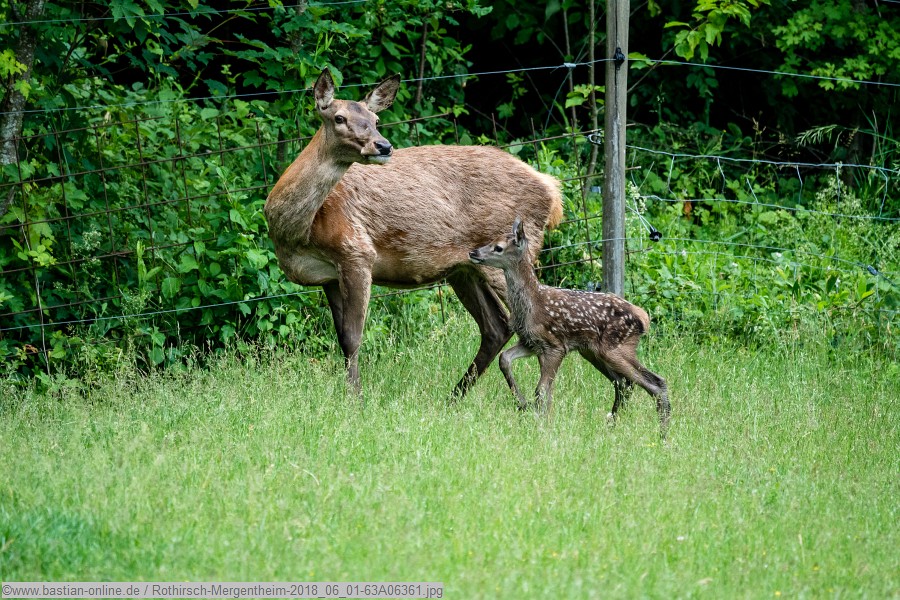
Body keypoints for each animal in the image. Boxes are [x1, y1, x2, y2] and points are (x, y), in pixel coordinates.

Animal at [264, 69, 564, 397]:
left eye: (376, 119)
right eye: (339, 117)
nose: (383, 146)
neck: (299, 232)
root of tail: (552, 191)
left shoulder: (356, 251)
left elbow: (353, 337)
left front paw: (355, 397)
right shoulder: (327, 276)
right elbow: (342, 338)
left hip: (511, 255)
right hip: (464, 267)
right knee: (496, 325)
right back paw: (455, 395)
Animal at [469, 218, 671, 437]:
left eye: (498, 247)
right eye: (490, 240)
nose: (473, 252)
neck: (532, 304)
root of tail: (643, 317)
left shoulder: (556, 346)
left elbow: (541, 389)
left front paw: (539, 424)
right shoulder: (531, 343)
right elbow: (505, 359)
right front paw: (525, 406)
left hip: (615, 348)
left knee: (655, 382)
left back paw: (663, 436)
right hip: (592, 352)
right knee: (624, 384)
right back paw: (612, 426)